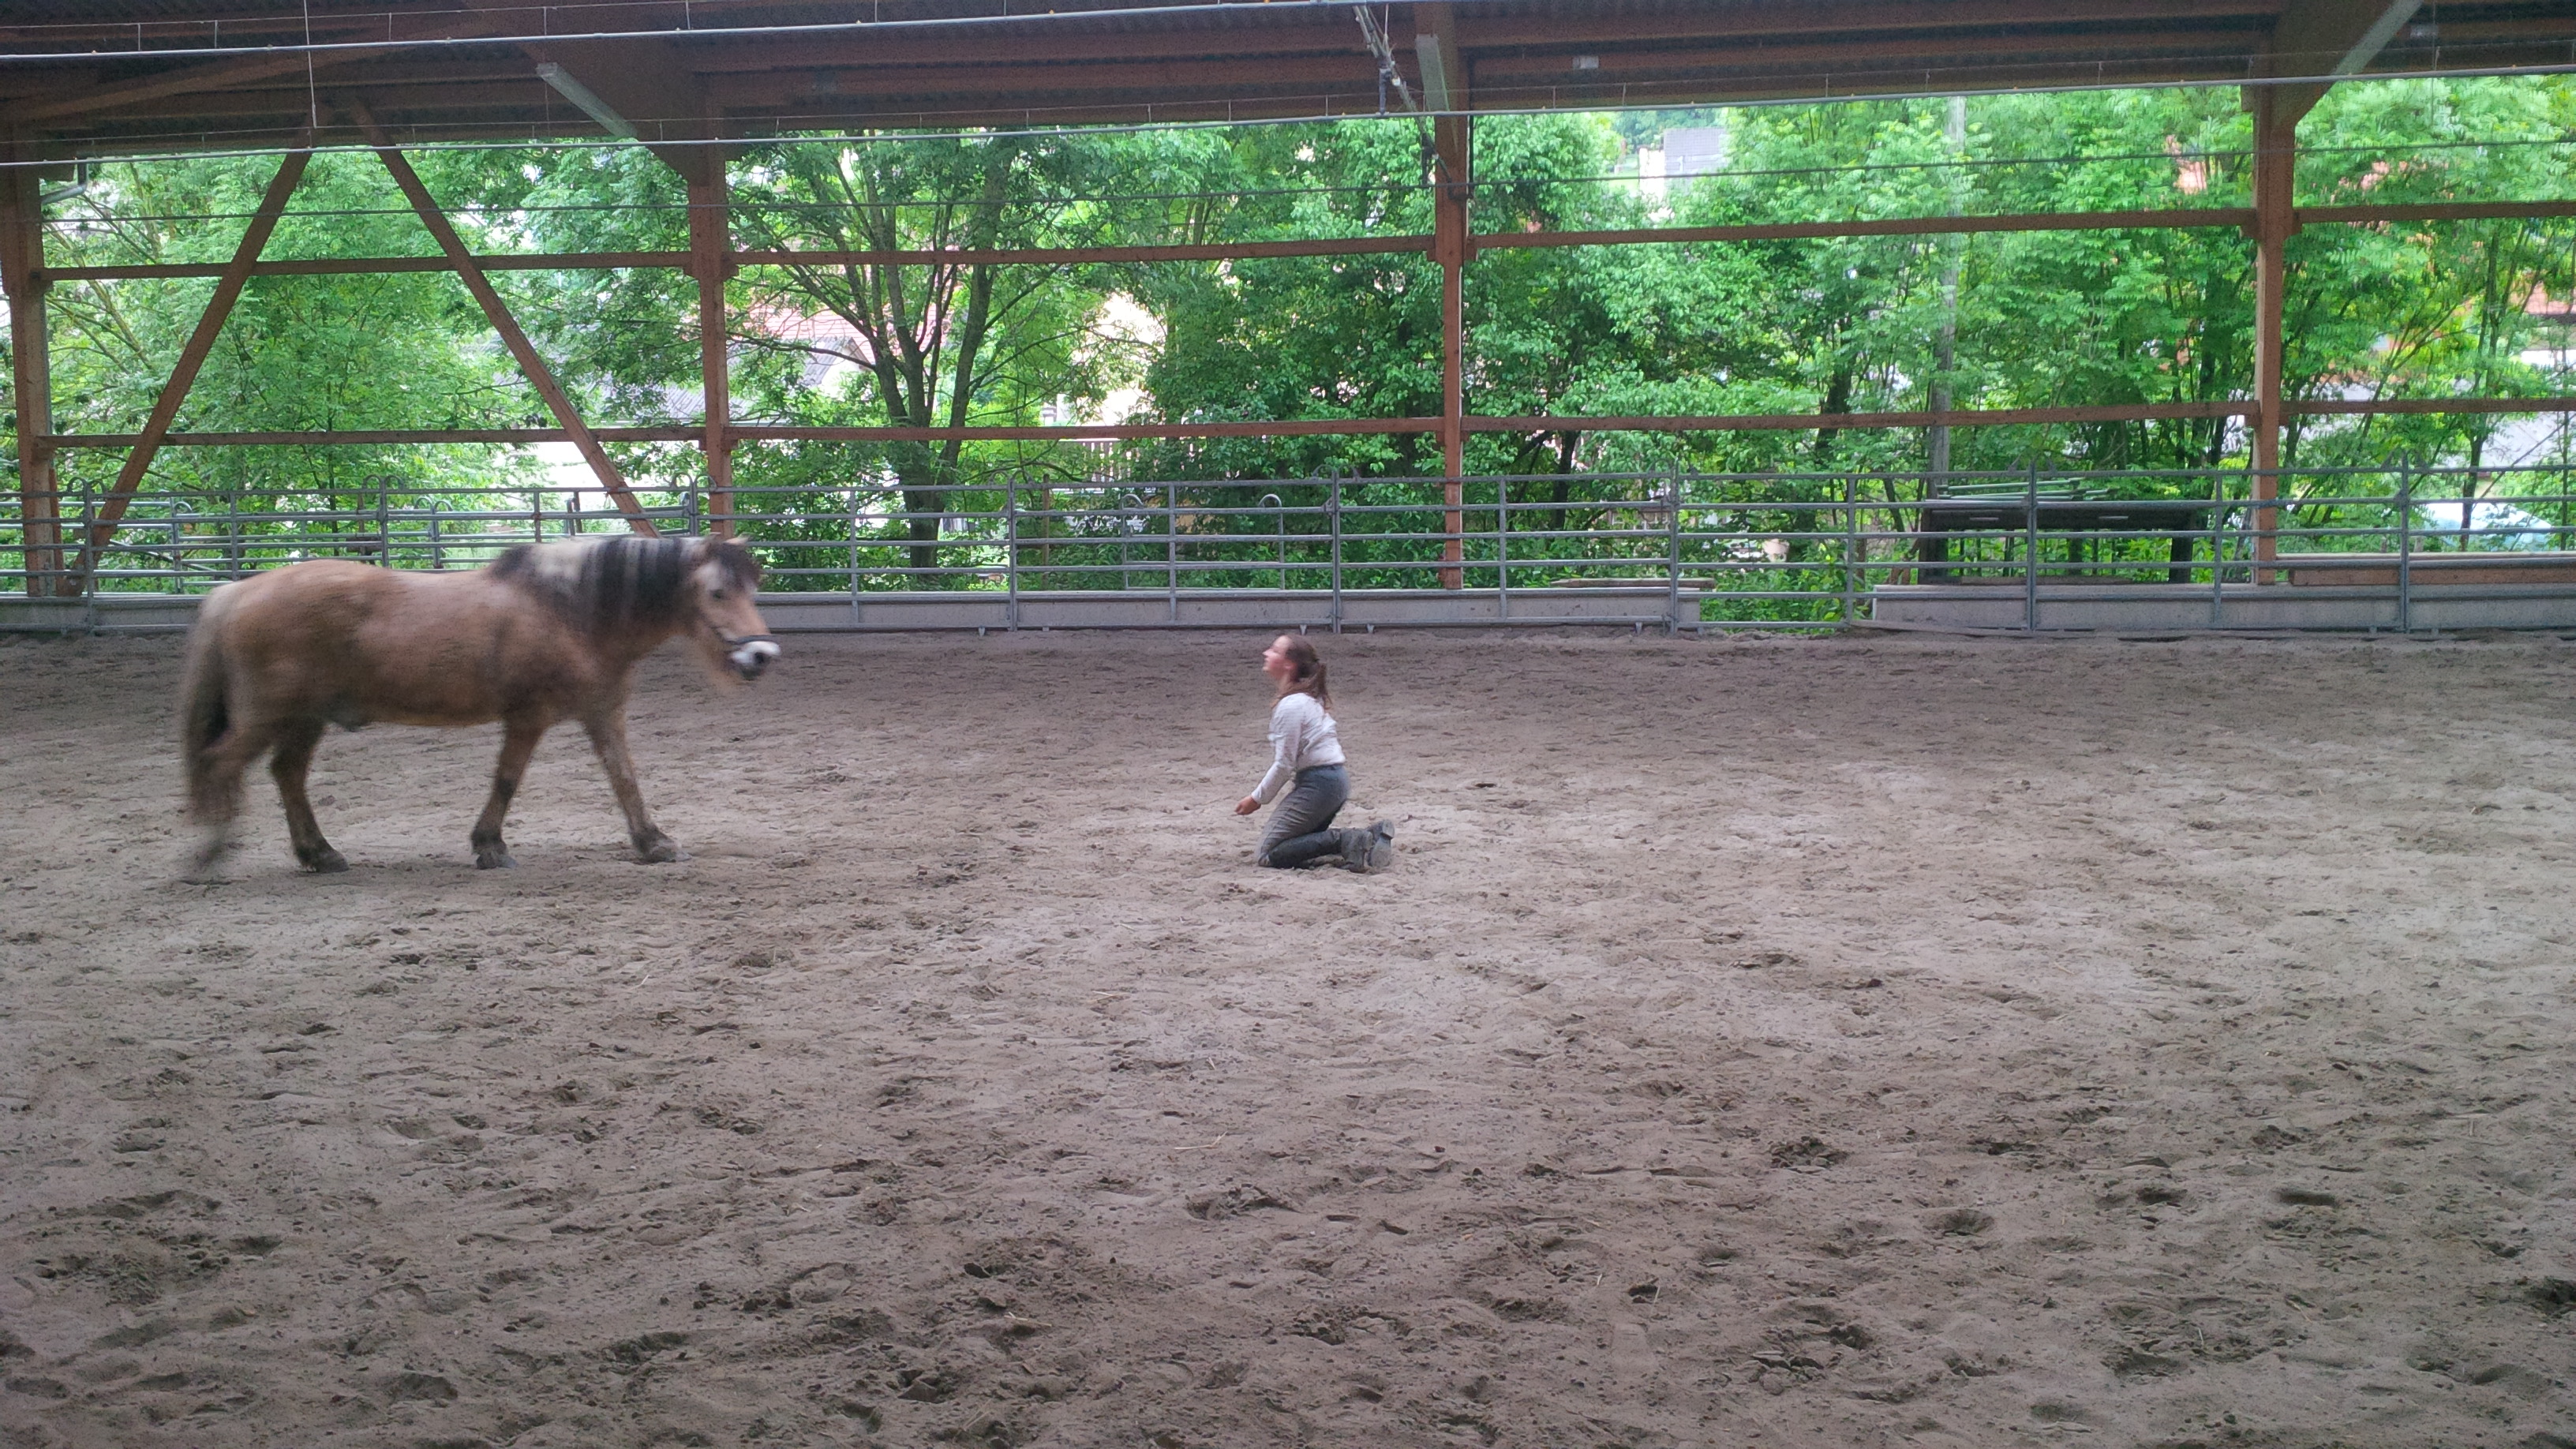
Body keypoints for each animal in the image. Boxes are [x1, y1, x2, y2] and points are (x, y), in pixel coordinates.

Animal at [177, 534, 779, 876]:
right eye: (717, 593)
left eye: (752, 587)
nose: (761, 656)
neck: (570, 610)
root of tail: (236, 592)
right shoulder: (528, 718)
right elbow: (507, 781)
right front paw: (490, 846)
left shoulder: (602, 713)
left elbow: (624, 779)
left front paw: (653, 843)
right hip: (268, 716)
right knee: (221, 765)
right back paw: (209, 854)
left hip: (304, 719)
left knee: (288, 776)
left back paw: (319, 854)